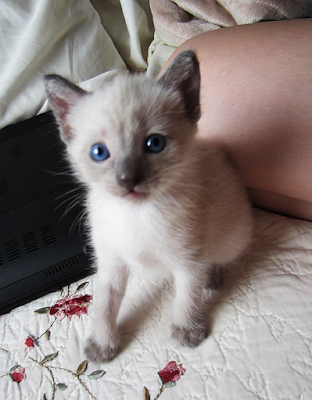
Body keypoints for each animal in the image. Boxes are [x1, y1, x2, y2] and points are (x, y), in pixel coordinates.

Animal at [44, 50, 254, 362]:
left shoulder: (189, 261)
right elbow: (104, 306)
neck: (136, 214)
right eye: (99, 152)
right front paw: (103, 345)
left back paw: (213, 276)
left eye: (154, 143)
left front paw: (186, 331)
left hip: (231, 234)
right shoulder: (111, 264)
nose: (127, 179)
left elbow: (186, 298)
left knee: (223, 255)